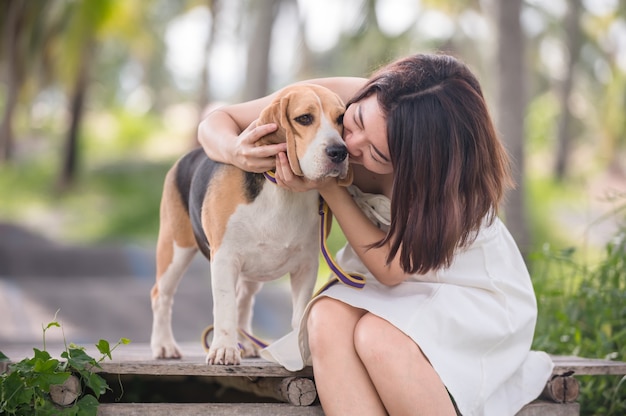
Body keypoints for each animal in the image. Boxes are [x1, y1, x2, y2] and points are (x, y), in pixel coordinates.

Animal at [149, 83, 348, 364]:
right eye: (304, 118)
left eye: (341, 118)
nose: (339, 152)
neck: (280, 191)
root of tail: (189, 154)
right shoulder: (224, 259)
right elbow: (225, 308)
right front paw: (224, 349)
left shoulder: (307, 264)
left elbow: (300, 314)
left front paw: (300, 351)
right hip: (175, 248)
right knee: (161, 296)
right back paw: (164, 345)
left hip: (255, 267)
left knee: (244, 299)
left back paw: (247, 344)